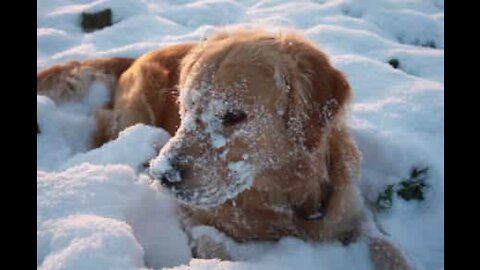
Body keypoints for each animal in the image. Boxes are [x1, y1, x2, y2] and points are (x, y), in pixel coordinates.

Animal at [36, 28, 412, 268]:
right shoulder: (189, 216)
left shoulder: (350, 213)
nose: (164, 175)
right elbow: (215, 244)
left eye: (234, 115)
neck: (283, 196)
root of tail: (138, 55)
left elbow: (388, 246)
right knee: (103, 122)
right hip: (134, 111)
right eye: (186, 108)